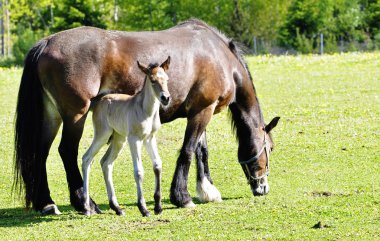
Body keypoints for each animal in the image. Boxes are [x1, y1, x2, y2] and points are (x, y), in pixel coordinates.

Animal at [83, 56, 172, 217]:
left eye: (166, 79)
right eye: (152, 80)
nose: (165, 98)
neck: (146, 111)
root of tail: (98, 102)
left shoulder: (150, 138)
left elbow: (157, 165)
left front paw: (158, 207)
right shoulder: (134, 139)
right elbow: (138, 171)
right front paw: (143, 208)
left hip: (119, 139)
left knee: (106, 163)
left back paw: (116, 207)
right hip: (103, 135)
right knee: (87, 159)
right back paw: (86, 208)